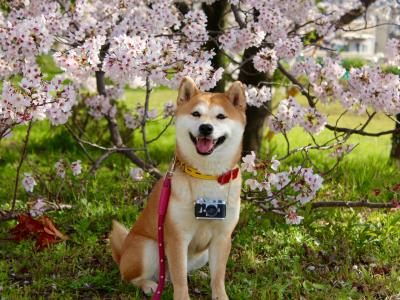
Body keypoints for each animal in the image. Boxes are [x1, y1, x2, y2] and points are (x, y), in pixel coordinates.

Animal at [110, 77, 247, 300]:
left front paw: (219, 295)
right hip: (147, 249)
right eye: (196, 114)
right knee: (132, 278)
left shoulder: (222, 237)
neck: (206, 175)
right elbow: (180, 278)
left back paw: (198, 275)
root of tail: (121, 254)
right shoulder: (177, 237)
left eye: (221, 116)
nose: (206, 128)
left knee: (182, 272)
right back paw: (148, 285)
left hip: (202, 255)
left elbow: (218, 276)